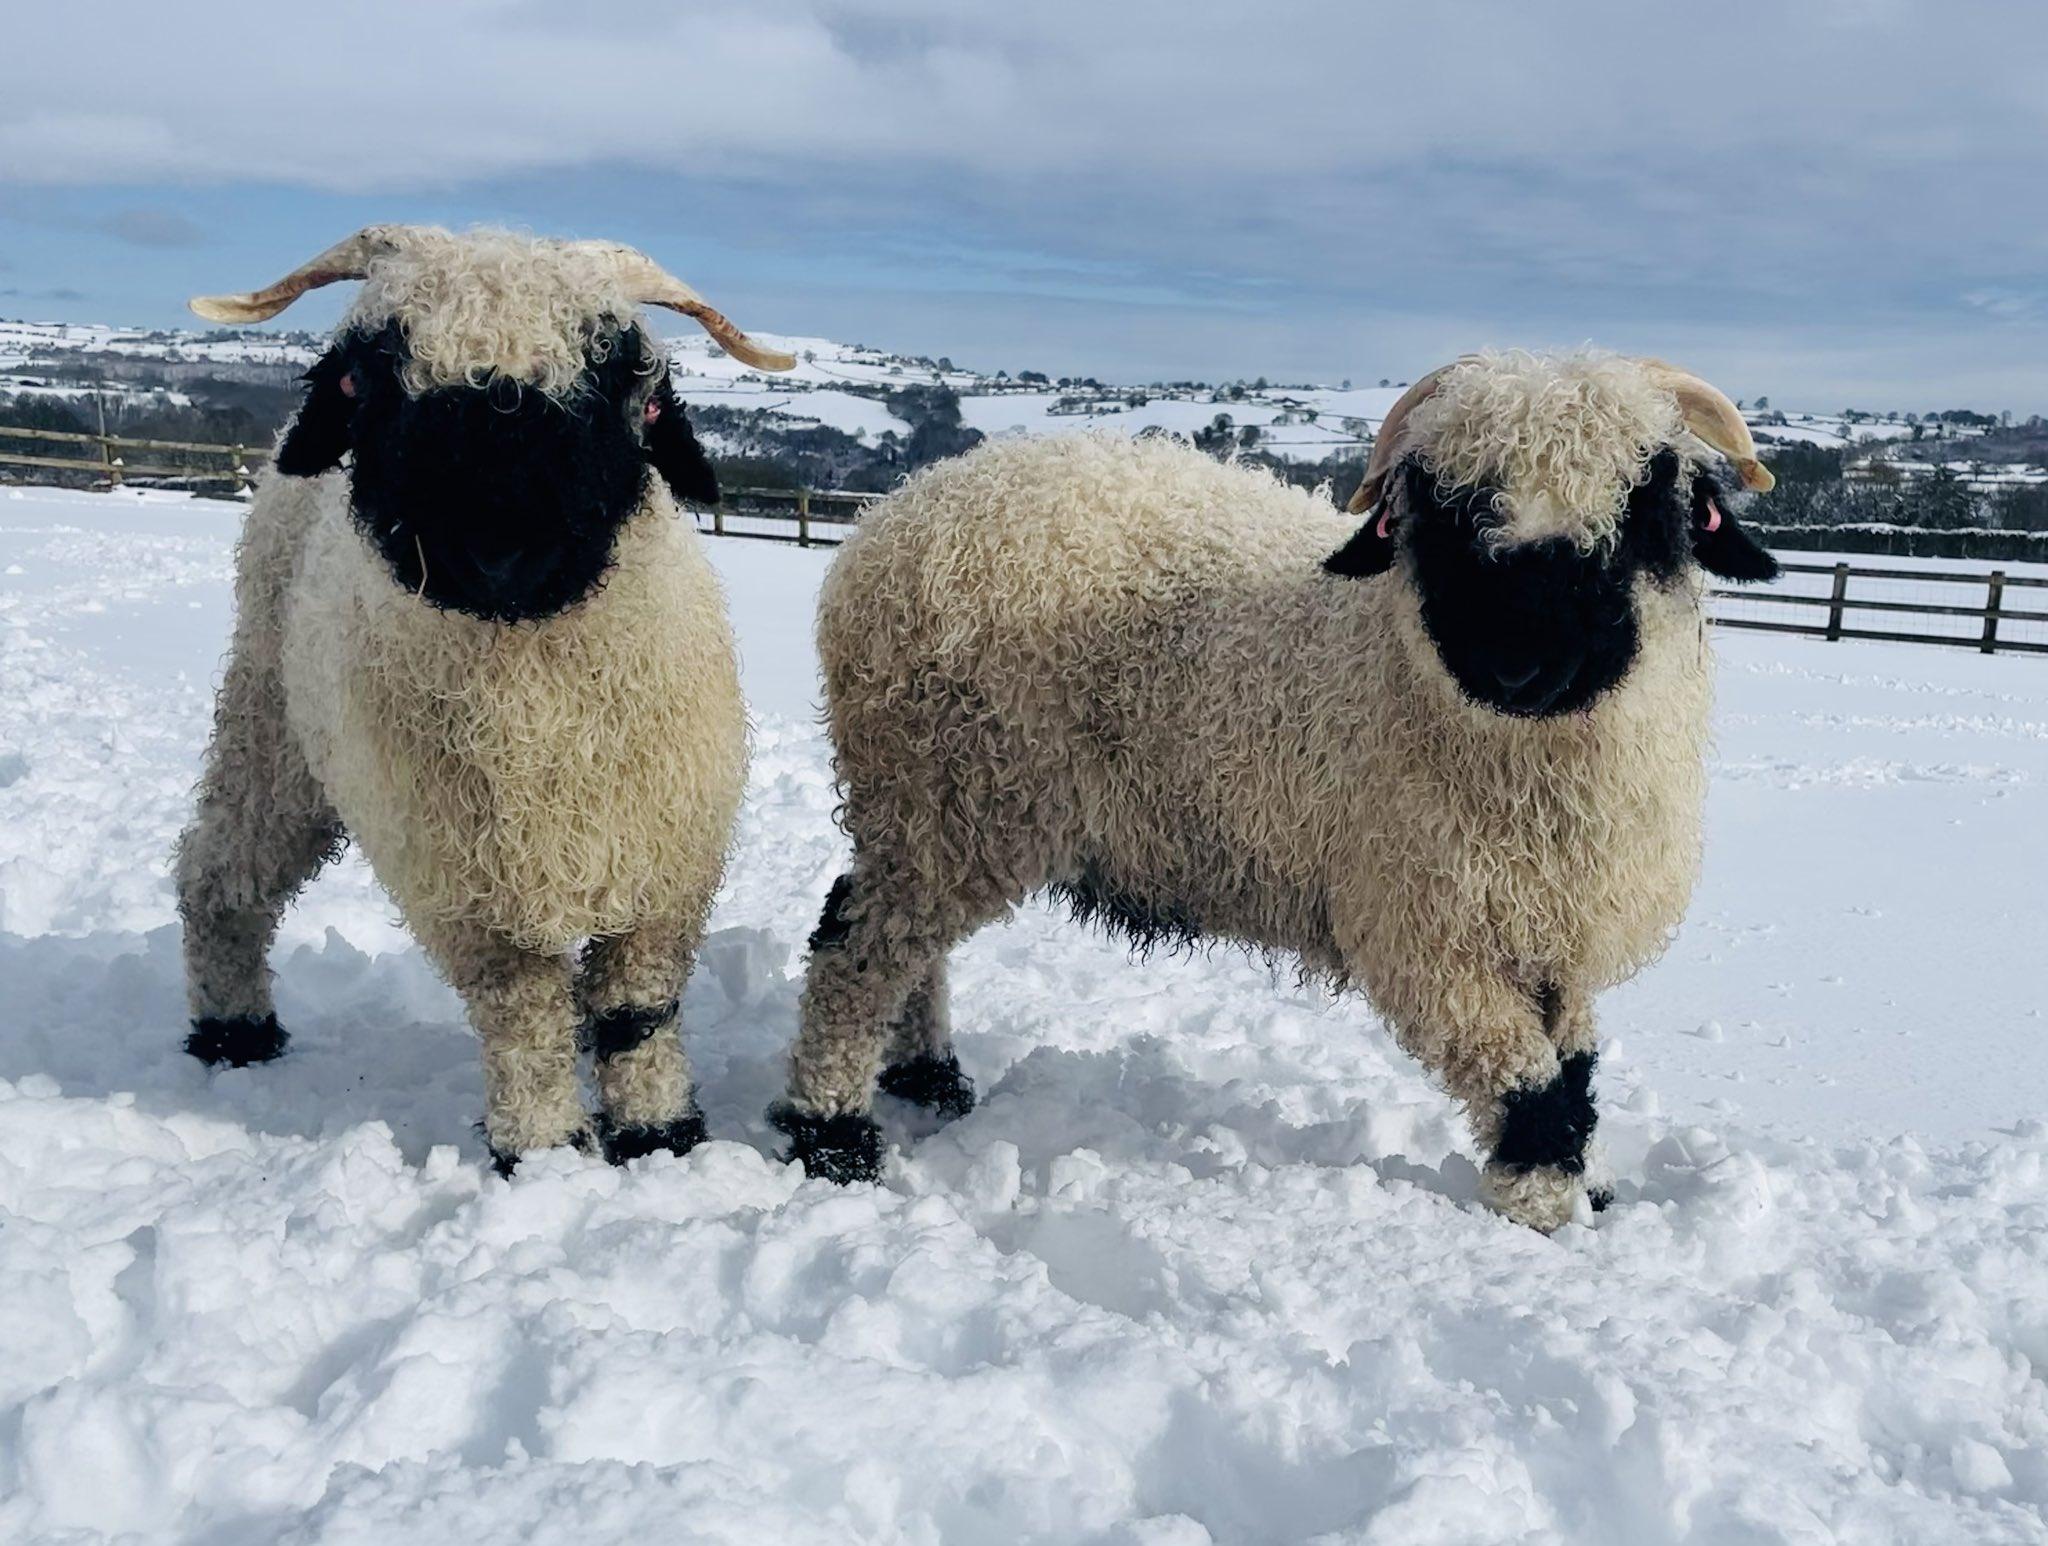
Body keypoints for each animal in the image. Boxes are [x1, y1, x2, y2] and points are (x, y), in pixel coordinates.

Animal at [174, 226, 790, 1171]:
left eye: (624, 372)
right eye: (365, 376)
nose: (500, 546)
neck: (533, 712)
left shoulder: (664, 867)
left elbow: (636, 1012)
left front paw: (659, 1137)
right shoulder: (467, 890)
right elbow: (523, 1020)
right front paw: (544, 1154)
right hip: (271, 721)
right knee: (220, 873)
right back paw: (233, 1029)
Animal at [770, 354, 1777, 1236]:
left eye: (1649, 503)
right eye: (1443, 507)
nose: (1516, 662)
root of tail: (892, 518)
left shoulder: (1552, 933)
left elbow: (1572, 1069)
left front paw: (1589, 1191)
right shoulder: (1425, 935)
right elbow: (1525, 1084)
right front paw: (1541, 1214)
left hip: (941, 808)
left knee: (903, 941)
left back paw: (926, 1078)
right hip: (947, 787)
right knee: (856, 952)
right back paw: (834, 1133)